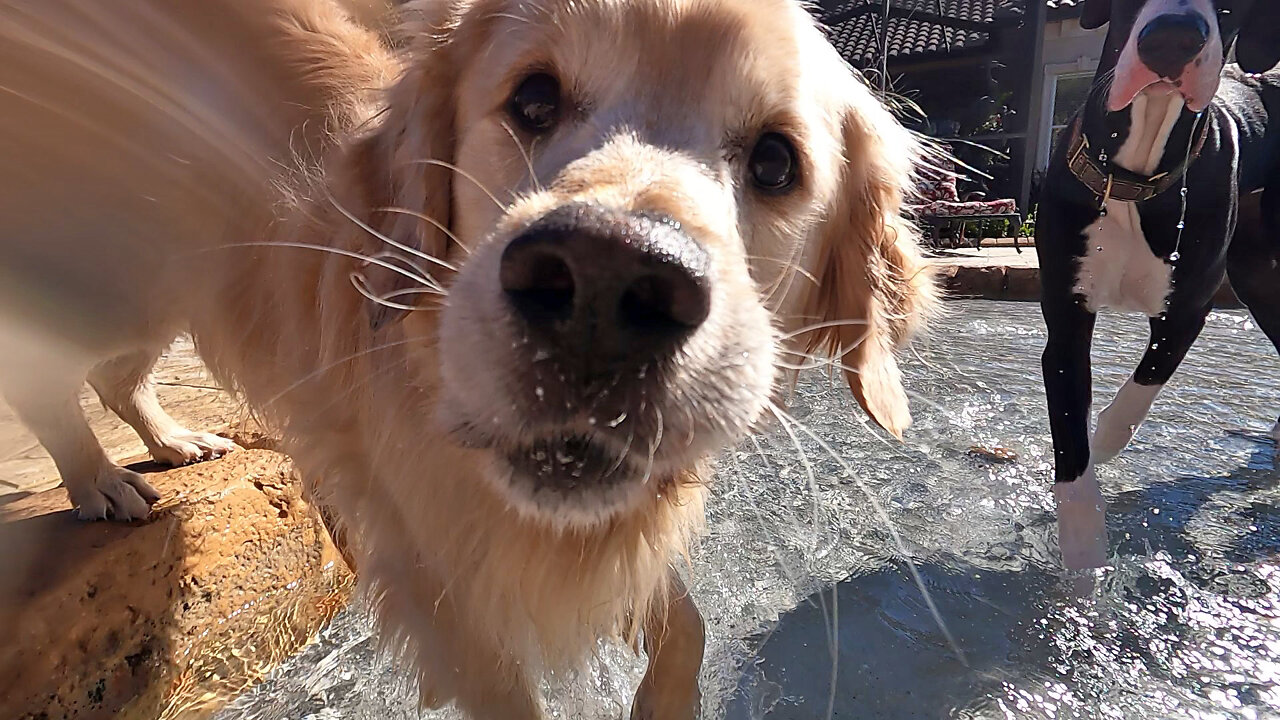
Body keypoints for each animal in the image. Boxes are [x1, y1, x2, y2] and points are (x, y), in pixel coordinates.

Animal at [1039, 0, 1280, 568]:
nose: (1173, 37)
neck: (1133, 177)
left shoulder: (1188, 309)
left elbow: (1140, 390)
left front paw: (1104, 438)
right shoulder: (1066, 316)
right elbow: (1072, 448)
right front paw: (1084, 558)